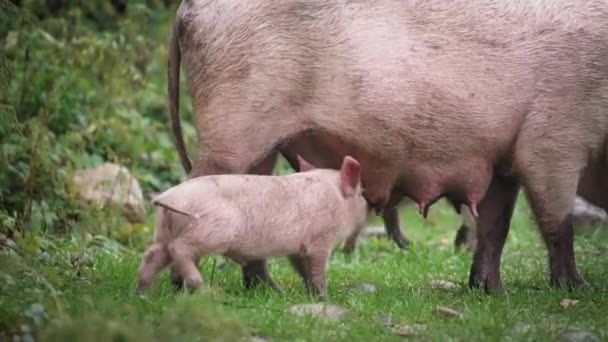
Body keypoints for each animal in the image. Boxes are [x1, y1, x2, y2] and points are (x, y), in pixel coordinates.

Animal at [166, 0, 608, 294]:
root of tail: (188, 8)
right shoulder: (553, 139)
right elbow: (557, 222)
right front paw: (578, 291)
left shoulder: (502, 157)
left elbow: (495, 226)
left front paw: (490, 293)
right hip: (231, 128)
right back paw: (186, 290)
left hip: (263, 144)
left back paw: (267, 291)